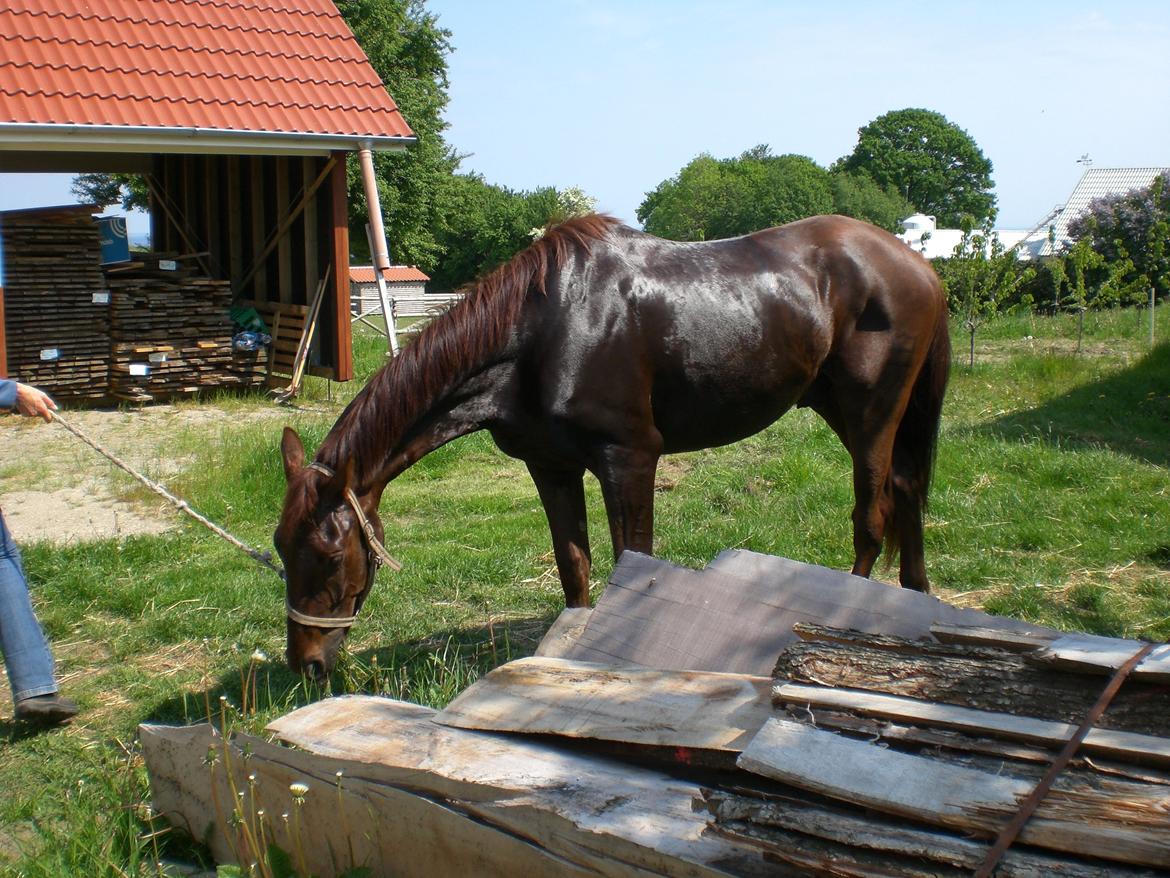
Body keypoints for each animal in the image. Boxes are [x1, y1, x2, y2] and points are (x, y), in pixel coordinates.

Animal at [276, 215, 950, 678]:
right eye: (282, 548)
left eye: (330, 556)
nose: (306, 663)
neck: (543, 332)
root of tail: (919, 266)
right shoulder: (550, 467)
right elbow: (573, 566)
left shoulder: (628, 459)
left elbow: (635, 560)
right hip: (846, 410)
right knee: (906, 491)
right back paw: (916, 599)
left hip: (870, 414)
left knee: (872, 515)